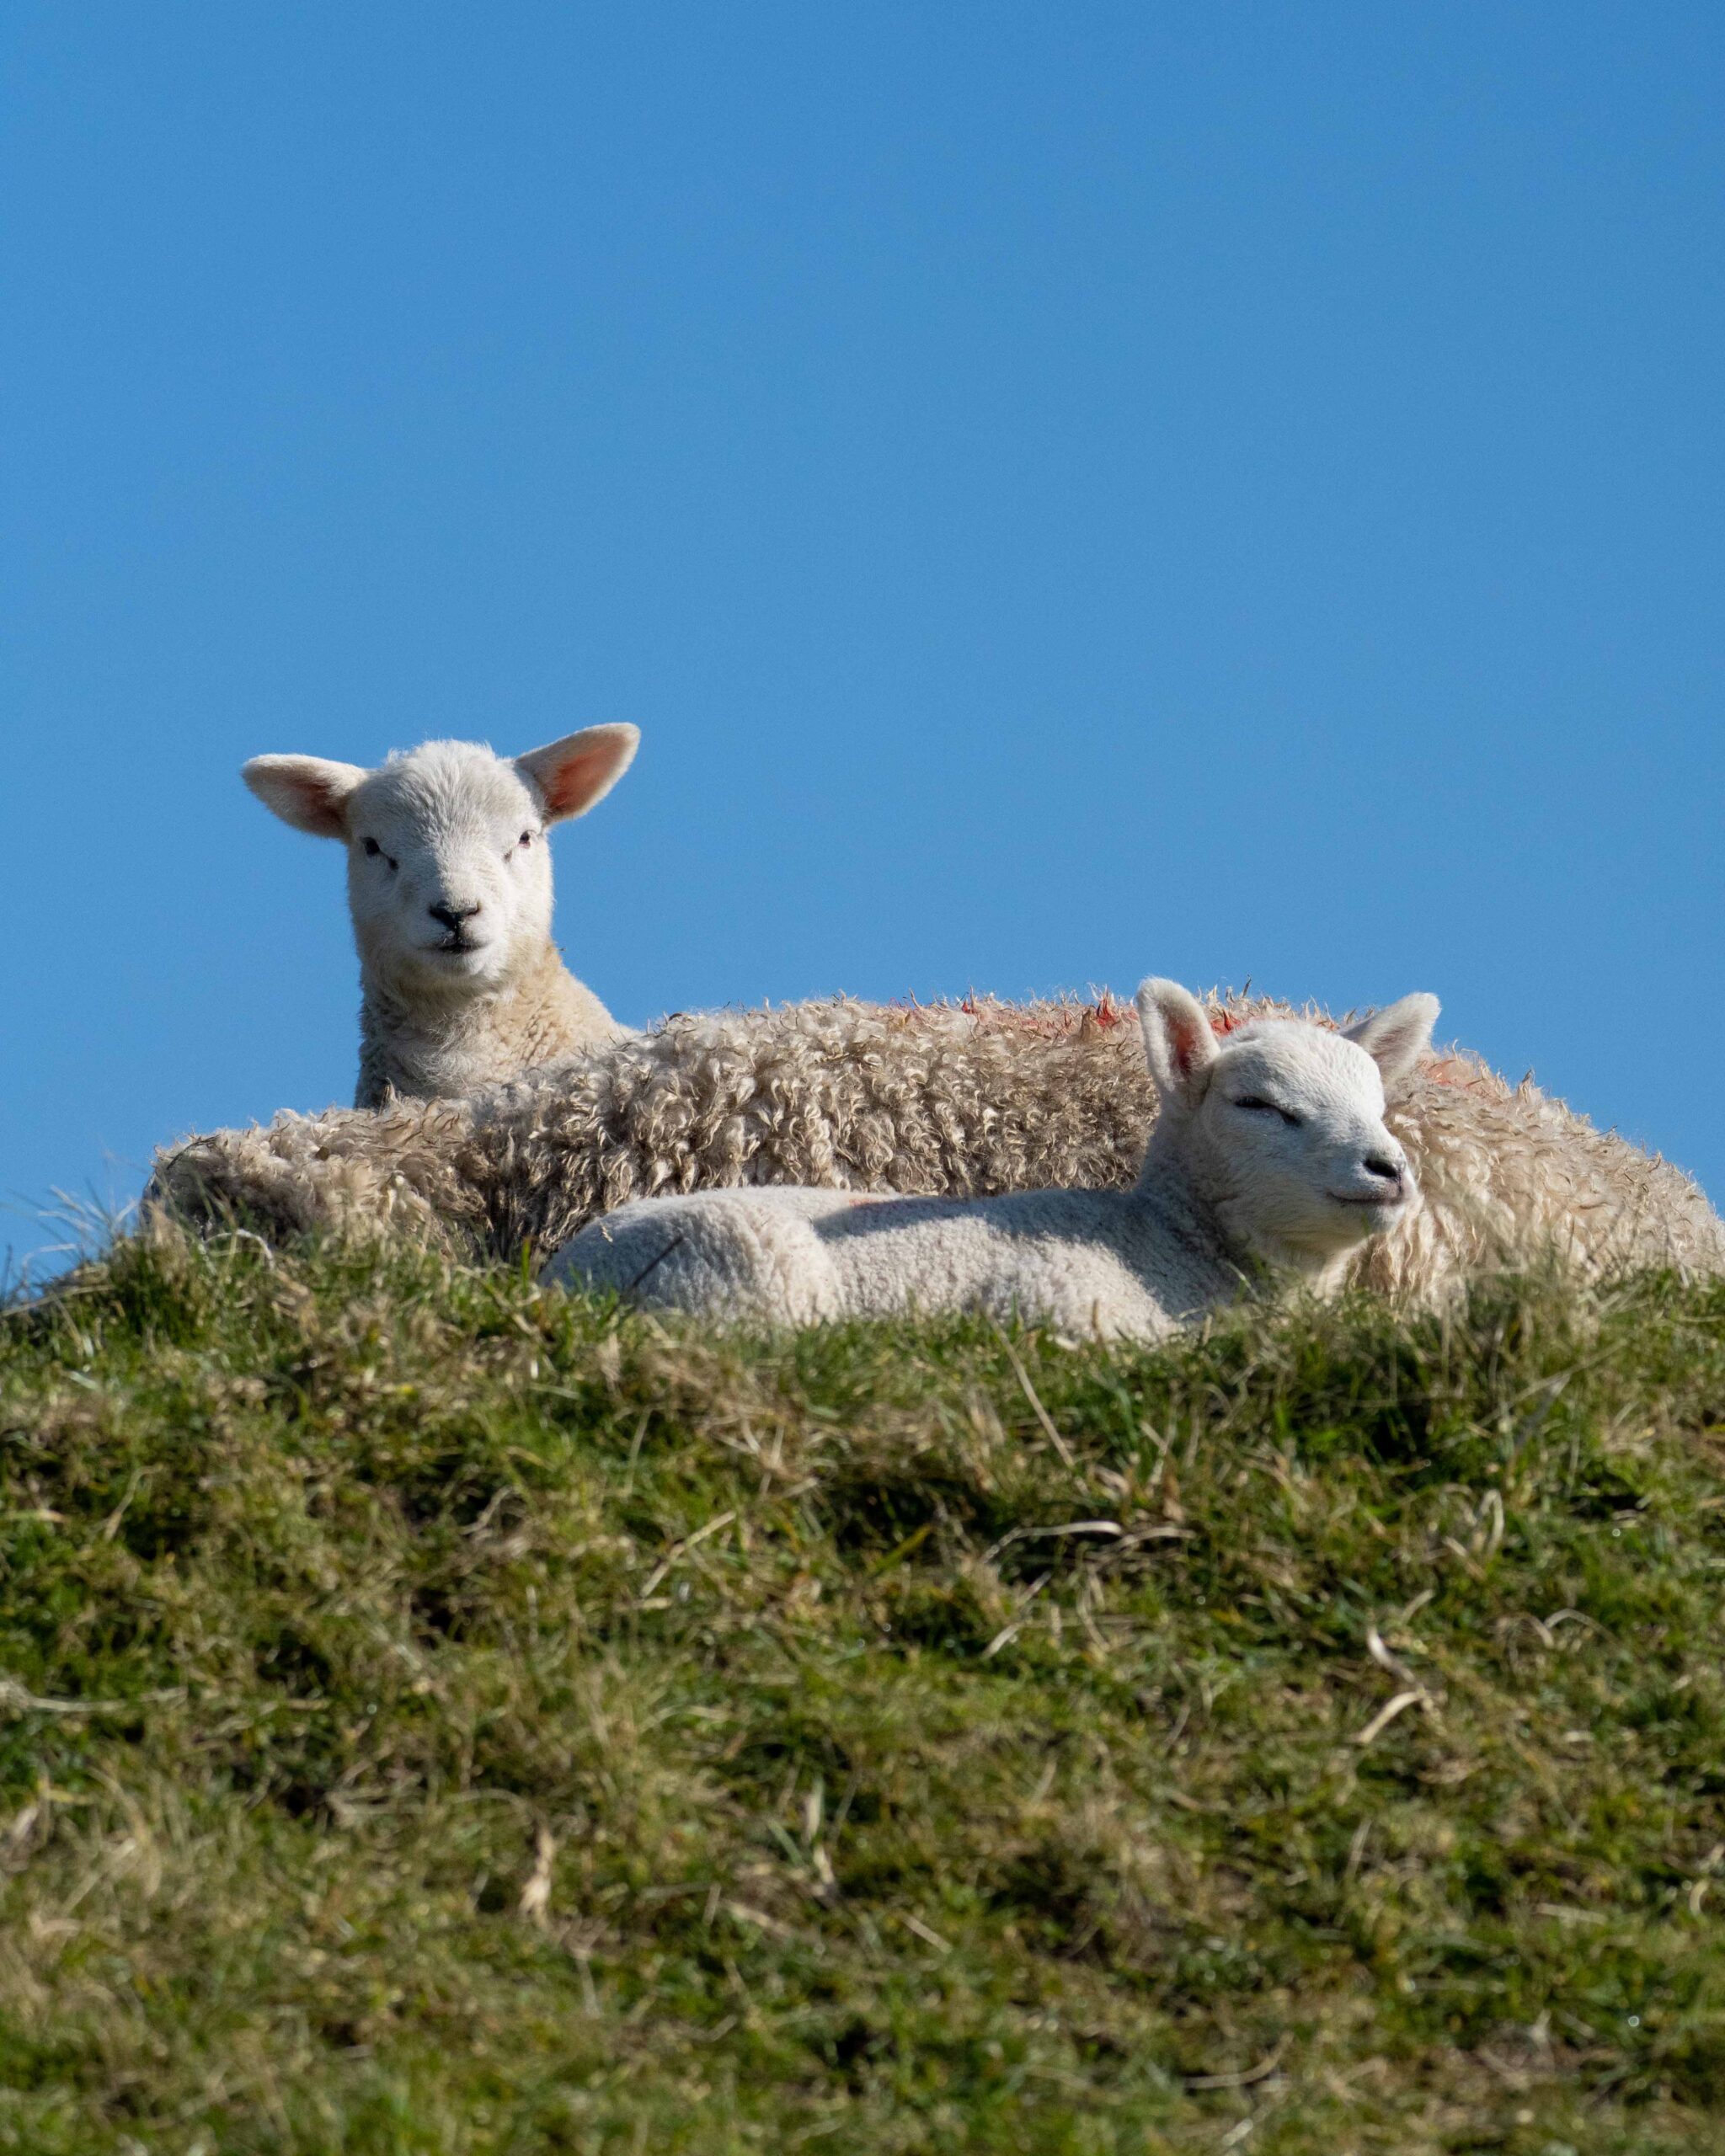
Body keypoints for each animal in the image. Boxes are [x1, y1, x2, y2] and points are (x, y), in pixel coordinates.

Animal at [545, 987, 1431, 1337]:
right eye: (1258, 1105)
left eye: (1378, 1099)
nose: (1388, 1169)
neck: (1166, 1245)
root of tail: (561, 1274)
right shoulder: (1058, 1304)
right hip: (747, 1271)